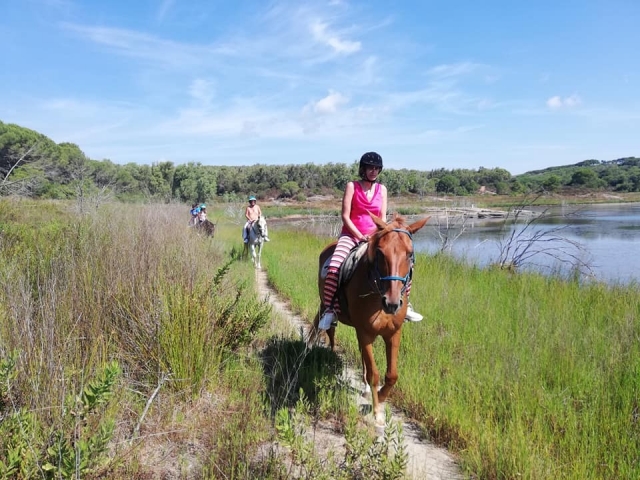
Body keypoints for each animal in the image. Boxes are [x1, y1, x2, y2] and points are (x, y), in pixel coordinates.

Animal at [311, 213, 430, 425]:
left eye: (409, 253)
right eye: (380, 253)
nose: (392, 303)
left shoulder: (393, 333)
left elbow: (392, 375)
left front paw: (380, 396)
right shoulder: (365, 333)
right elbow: (374, 373)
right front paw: (376, 411)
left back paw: (365, 387)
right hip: (326, 306)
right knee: (328, 331)